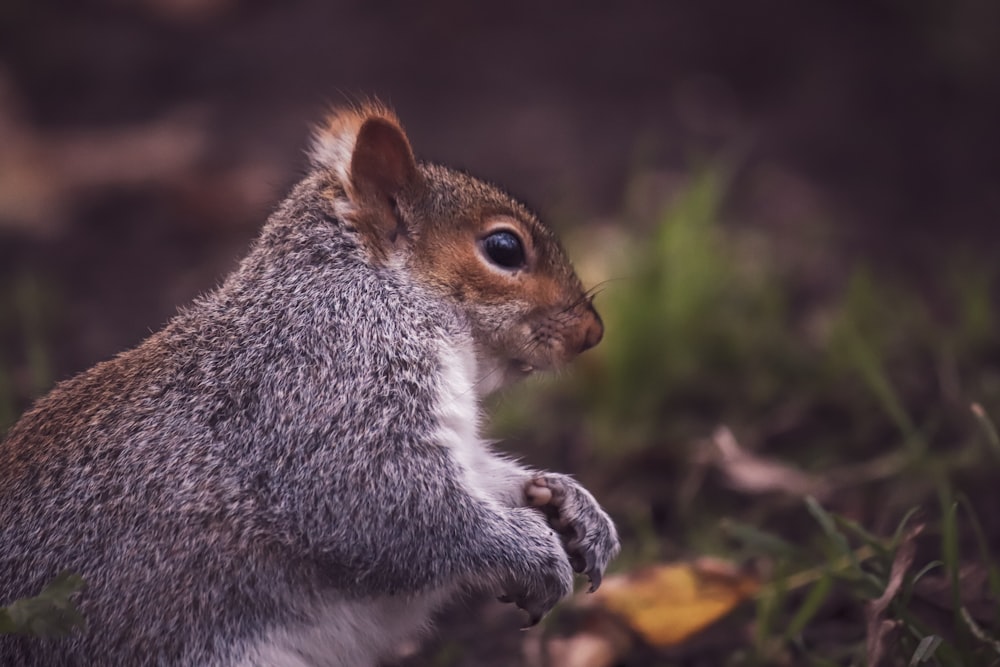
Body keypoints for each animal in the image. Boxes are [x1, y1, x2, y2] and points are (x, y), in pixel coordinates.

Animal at [0, 102, 616, 664]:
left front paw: (570, 503)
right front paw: (531, 551)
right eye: (504, 248)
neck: (380, 291)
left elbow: (482, 476)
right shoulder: (329, 384)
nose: (593, 332)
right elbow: (385, 503)